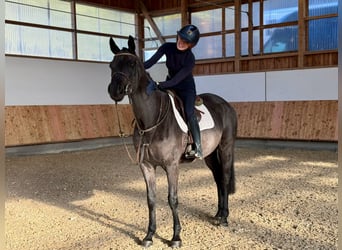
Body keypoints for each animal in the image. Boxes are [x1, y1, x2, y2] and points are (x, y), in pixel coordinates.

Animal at [108, 35, 236, 248]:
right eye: (111, 65)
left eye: (132, 64)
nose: (115, 90)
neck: (151, 120)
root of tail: (225, 104)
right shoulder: (146, 166)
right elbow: (151, 199)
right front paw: (149, 236)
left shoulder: (171, 165)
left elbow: (172, 199)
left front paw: (176, 237)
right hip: (210, 155)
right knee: (218, 179)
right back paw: (218, 214)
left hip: (225, 148)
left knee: (225, 179)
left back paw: (224, 218)